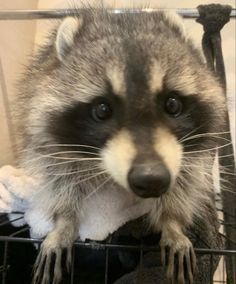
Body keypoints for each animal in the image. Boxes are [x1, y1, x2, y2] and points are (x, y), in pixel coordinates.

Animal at [11, 7, 227, 284]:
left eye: (172, 104)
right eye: (102, 110)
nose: (152, 180)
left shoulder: (190, 153)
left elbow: (183, 183)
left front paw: (172, 223)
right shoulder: (49, 140)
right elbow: (60, 181)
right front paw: (64, 222)